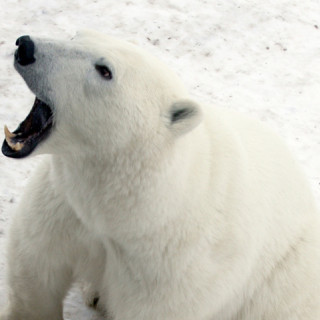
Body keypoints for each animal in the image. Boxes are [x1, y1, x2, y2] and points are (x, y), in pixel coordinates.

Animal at [0, 30, 320, 320]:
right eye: (76, 36)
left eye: (105, 70)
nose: (26, 46)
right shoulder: (64, 206)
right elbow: (36, 270)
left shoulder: (173, 267)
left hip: (285, 276)